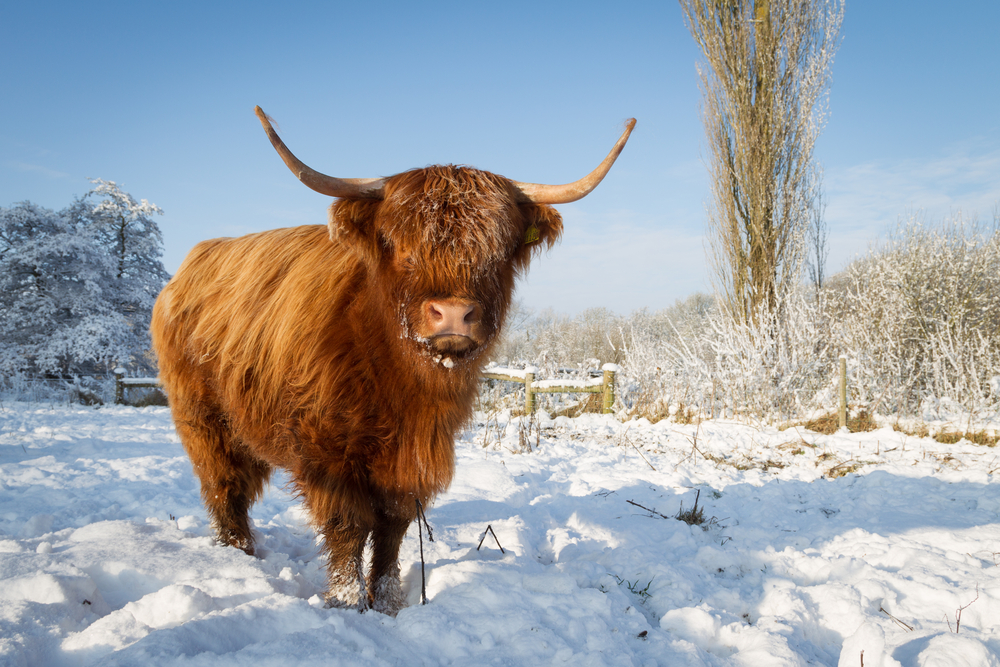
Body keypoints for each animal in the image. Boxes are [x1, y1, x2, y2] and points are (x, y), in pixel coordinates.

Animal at [148, 105, 632, 616]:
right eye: (399, 244)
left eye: (498, 250)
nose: (453, 313)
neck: (400, 383)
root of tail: (193, 263)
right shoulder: (326, 451)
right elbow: (347, 524)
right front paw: (345, 600)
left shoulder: (413, 455)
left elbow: (393, 525)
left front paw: (387, 600)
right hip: (204, 418)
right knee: (225, 485)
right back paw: (238, 553)